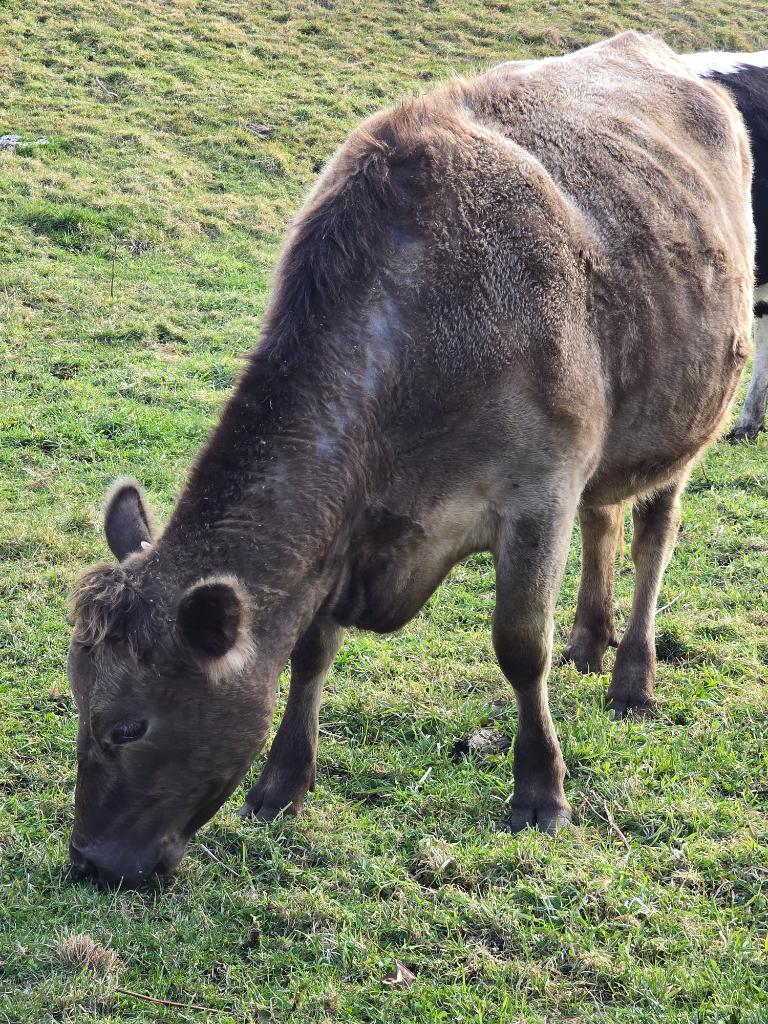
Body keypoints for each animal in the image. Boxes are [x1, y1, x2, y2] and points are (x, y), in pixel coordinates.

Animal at [67, 32, 754, 887]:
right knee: (607, 518)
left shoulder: (540, 493)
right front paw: (280, 785)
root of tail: (656, 48)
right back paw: (588, 645)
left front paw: (540, 791)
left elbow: (519, 648)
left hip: (687, 414)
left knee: (653, 536)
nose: (88, 861)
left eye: (128, 726)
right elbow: (311, 651)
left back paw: (631, 677)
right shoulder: (349, 531)